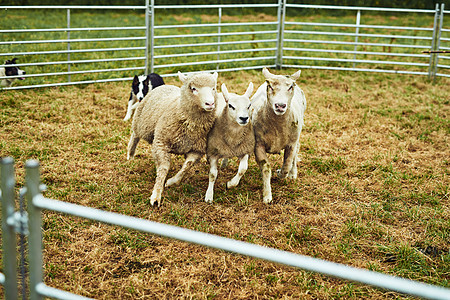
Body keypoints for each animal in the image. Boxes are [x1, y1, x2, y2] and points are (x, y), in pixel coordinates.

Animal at [127, 71, 219, 206]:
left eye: (213, 88)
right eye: (193, 88)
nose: (210, 104)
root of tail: (165, 85)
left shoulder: (197, 150)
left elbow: (187, 166)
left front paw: (171, 182)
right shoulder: (161, 143)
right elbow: (164, 168)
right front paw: (156, 195)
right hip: (141, 121)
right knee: (135, 136)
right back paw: (130, 155)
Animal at [250, 67, 306, 204]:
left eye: (291, 86)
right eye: (269, 85)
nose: (280, 105)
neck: (277, 126)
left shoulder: (291, 144)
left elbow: (287, 165)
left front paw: (281, 173)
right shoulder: (258, 145)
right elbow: (265, 168)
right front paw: (267, 196)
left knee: (296, 153)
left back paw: (293, 174)